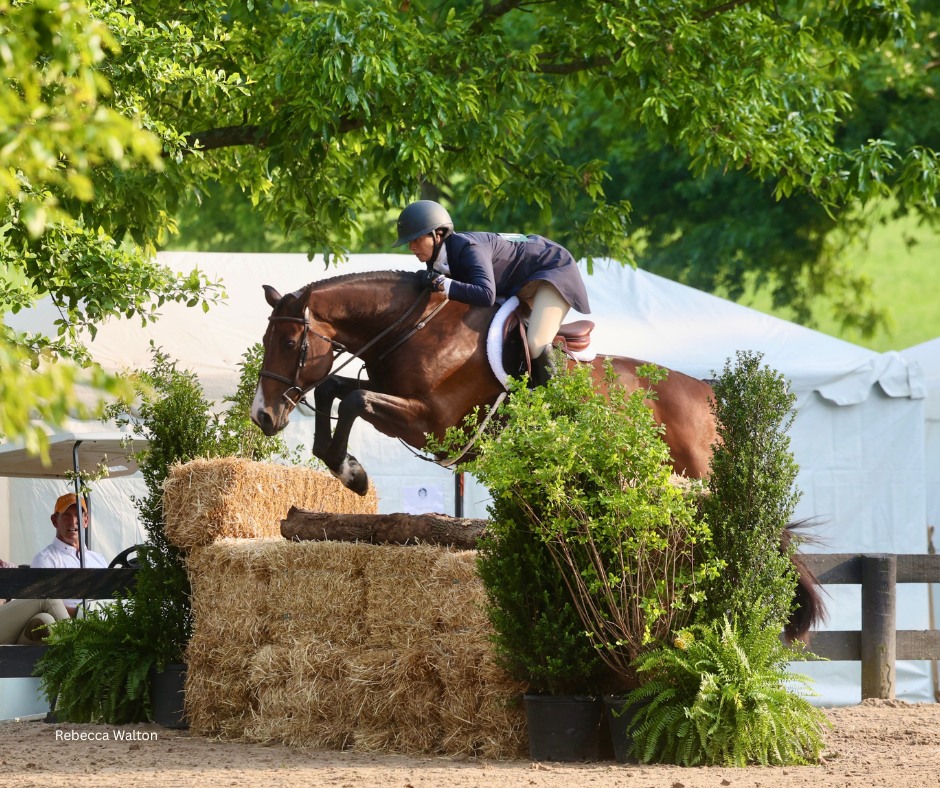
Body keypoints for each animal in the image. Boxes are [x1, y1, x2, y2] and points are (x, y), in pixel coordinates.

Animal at [250, 269, 823, 640]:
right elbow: (334, 389)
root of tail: (710, 398)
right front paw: (342, 464)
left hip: (701, 478)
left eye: (288, 343)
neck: (415, 328)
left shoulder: (432, 423)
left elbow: (350, 398)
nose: (262, 416)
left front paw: (353, 474)